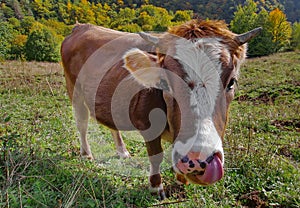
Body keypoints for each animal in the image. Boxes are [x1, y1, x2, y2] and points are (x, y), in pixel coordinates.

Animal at [60, 19, 260, 200]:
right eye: (165, 83)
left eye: (231, 82)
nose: (197, 161)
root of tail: (81, 26)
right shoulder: (147, 126)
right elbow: (156, 156)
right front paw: (156, 187)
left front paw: (180, 181)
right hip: (74, 91)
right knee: (82, 124)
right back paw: (86, 154)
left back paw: (122, 151)